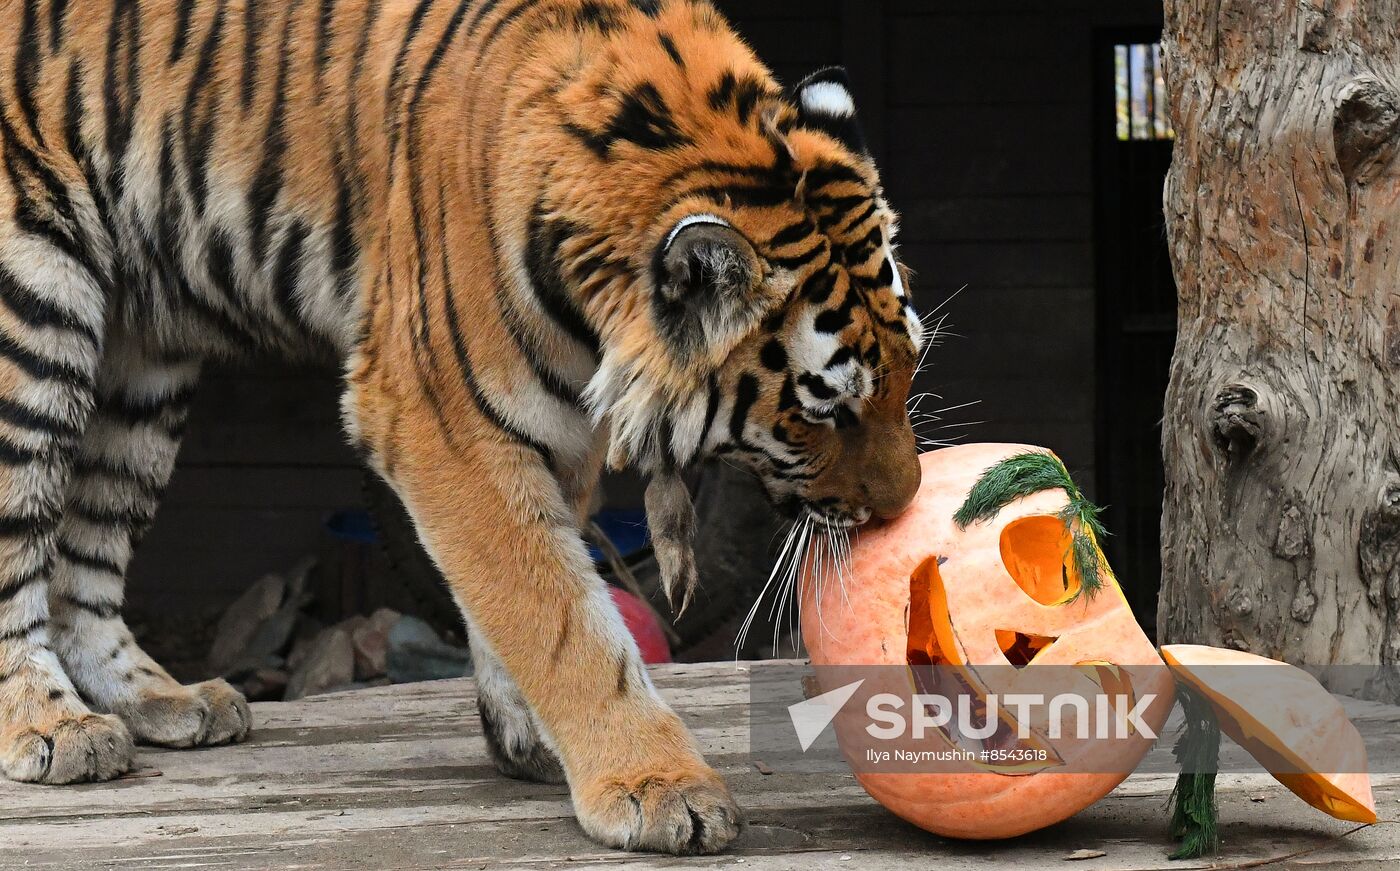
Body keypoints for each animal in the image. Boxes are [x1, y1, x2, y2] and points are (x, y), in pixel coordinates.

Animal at [0, 0, 929, 862]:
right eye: (823, 409)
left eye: (909, 369)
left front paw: (530, 736)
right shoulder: (436, 415)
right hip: (34, 305)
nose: (903, 505)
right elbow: (555, 609)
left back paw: (163, 701)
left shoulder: (559, 425)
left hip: (142, 367)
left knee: (87, 558)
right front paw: (655, 783)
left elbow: (528, 586)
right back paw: (51, 726)